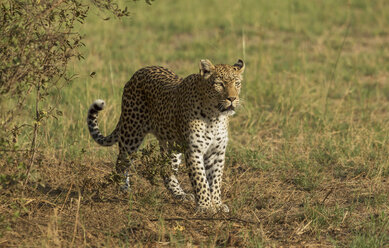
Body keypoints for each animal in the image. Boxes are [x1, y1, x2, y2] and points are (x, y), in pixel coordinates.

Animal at [87, 58, 244, 213]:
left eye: (237, 83)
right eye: (219, 84)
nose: (232, 98)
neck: (215, 116)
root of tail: (137, 73)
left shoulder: (216, 152)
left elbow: (215, 180)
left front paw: (217, 204)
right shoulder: (194, 150)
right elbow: (201, 180)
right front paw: (205, 206)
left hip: (170, 144)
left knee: (166, 171)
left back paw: (181, 195)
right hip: (131, 132)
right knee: (121, 162)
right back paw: (124, 188)